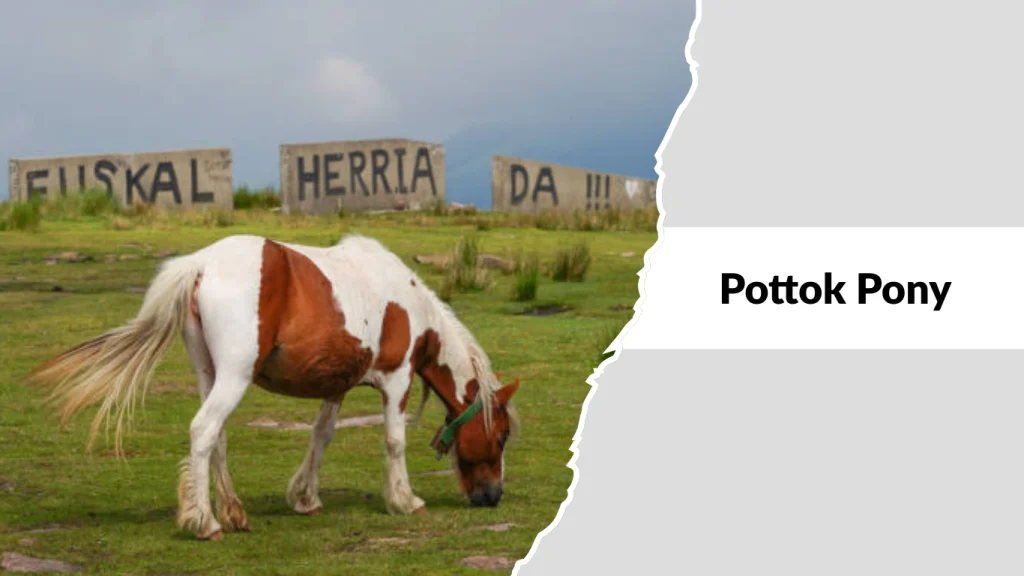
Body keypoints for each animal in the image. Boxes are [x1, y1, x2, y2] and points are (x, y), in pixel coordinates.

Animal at [25, 233, 521, 541]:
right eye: (500, 437)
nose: (493, 497)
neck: (409, 301)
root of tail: (200, 265)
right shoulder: (396, 379)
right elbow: (395, 441)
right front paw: (404, 500)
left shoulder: (336, 385)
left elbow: (321, 436)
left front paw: (305, 497)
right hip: (234, 375)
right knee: (204, 431)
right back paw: (205, 523)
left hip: (210, 374)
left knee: (217, 437)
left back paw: (233, 513)